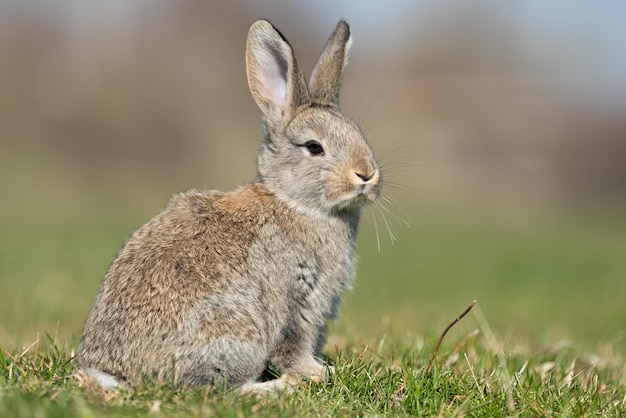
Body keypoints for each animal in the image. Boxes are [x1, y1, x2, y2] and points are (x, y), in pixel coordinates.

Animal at [78, 18, 380, 394]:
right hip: (234, 332)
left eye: (358, 133)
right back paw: (275, 389)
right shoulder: (299, 300)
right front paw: (315, 374)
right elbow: (294, 344)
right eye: (314, 147)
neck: (294, 201)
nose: (366, 174)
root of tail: (114, 374)